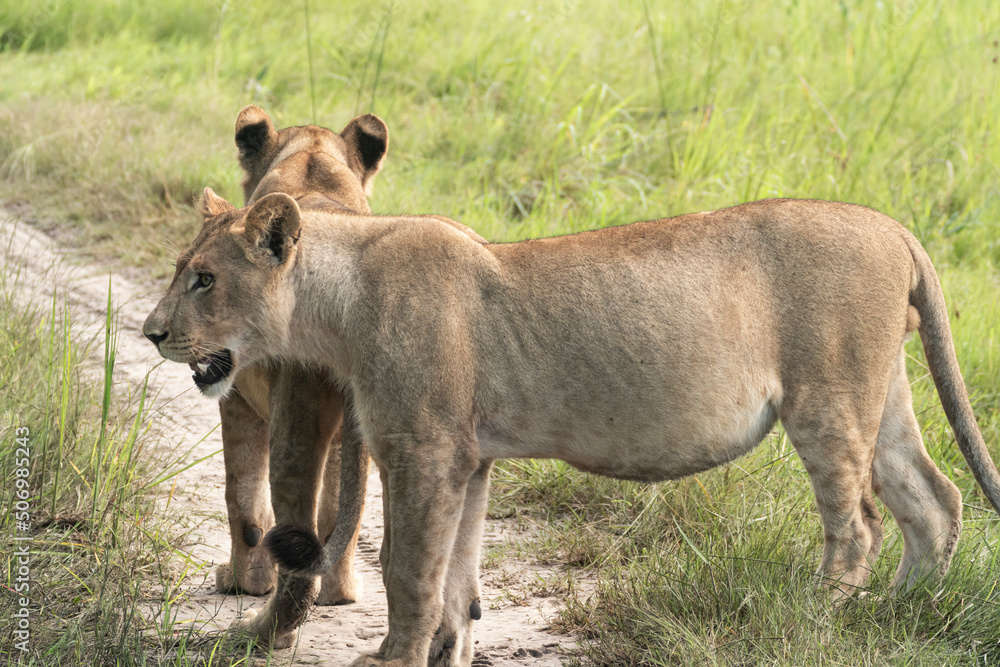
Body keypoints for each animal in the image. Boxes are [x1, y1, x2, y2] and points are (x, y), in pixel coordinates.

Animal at [144, 193, 1000, 667]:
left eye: (205, 278)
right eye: (182, 269)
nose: (151, 332)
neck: (339, 299)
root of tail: (896, 229)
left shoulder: (426, 451)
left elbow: (410, 570)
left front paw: (392, 657)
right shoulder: (473, 460)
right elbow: (457, 578)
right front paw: (446, 652)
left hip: (828, 399)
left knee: (858, 526)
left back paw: (817, 619)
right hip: (881, 394)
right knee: (935, 501)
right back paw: (899, 615)